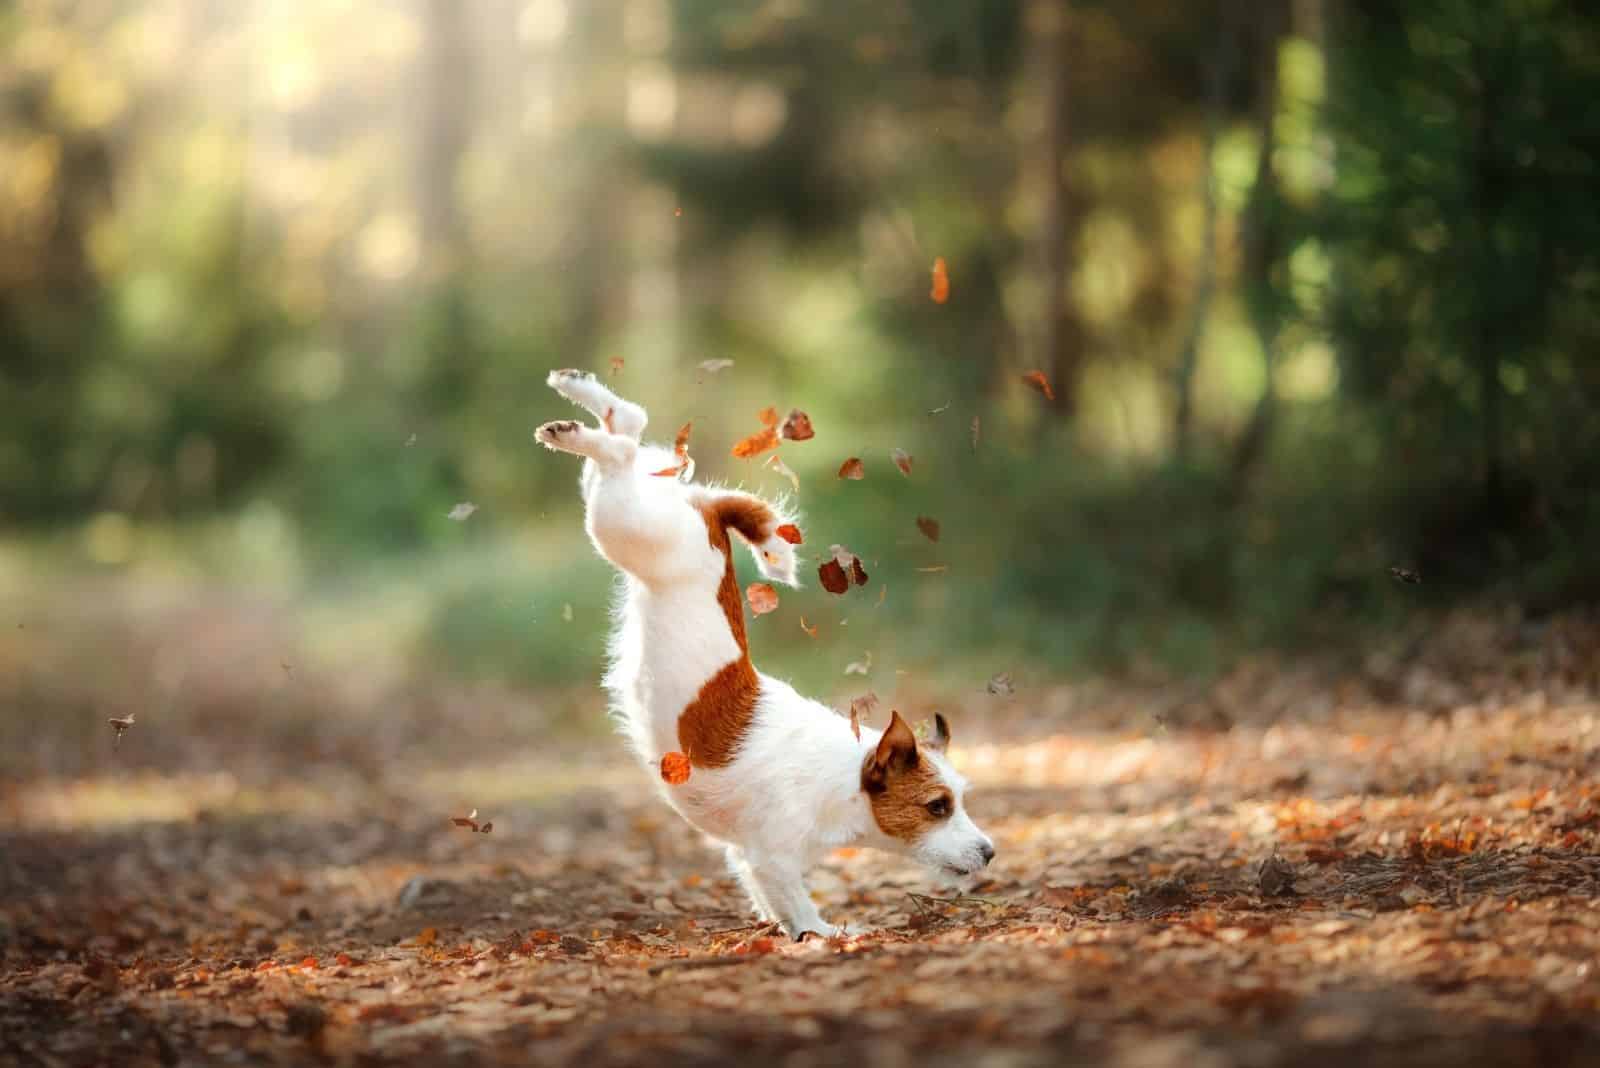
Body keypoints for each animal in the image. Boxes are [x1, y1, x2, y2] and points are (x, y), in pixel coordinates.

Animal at [540, 370, 985, 940]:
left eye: (961, 798)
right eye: (937, 807)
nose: (990, 852)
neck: (845, 775)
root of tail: (709, 513)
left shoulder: (746, 857)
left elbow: (771, 901)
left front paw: (787, 931)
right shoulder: (772, 857)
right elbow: (798, 903)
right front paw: (828, 934)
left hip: (626, 502)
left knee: (631, 426)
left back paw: (577, 398)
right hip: (625, 522)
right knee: (621, 446)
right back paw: (570, 427)